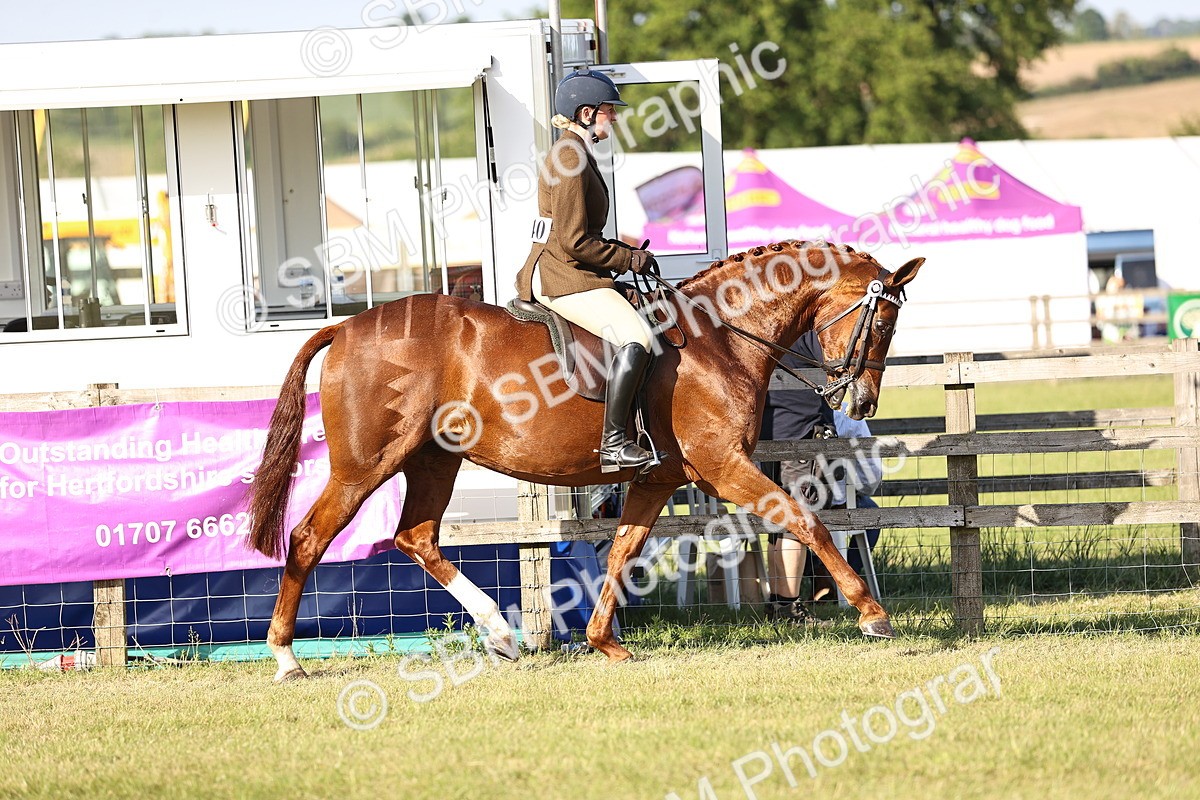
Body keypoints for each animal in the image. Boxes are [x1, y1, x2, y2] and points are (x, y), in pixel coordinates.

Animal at [246, 241, 923, 682]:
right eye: (881, 323)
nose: (861, 401)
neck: (721, 336)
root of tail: (348, 327)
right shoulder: (724, 465)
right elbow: (806, 521)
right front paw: (872, 615)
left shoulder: (657, 479)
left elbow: (623, 551)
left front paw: (604, 643)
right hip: (366, 465)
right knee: (308, 539)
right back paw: (285, 657)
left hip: (435, 460)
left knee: (416, 537)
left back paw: (501, 635)